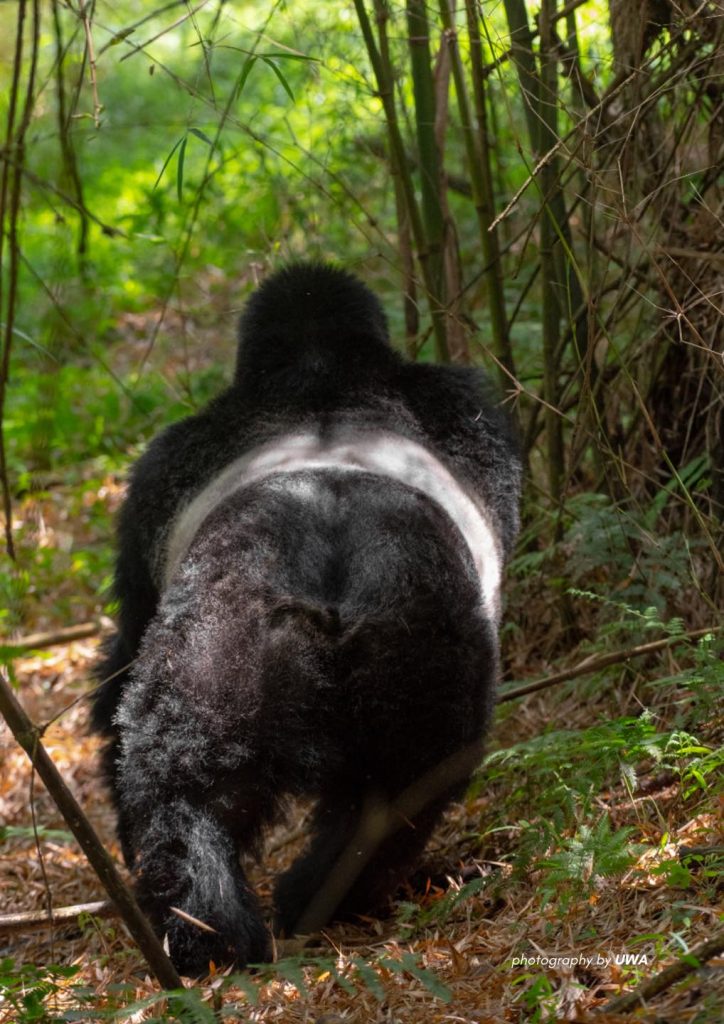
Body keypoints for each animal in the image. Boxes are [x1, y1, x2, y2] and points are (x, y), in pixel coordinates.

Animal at [92, 260, 520, 970]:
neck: (322, 370)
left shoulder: (160, 465)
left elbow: (123, 646)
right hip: (404, 627)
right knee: (396, 784)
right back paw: (294, 903)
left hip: (240, 626)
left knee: (181, 780)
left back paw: (217, 929)